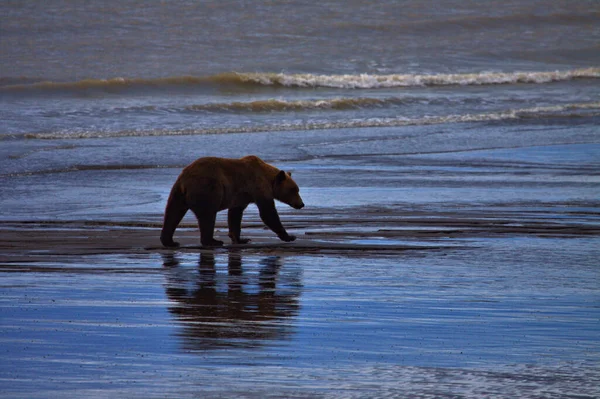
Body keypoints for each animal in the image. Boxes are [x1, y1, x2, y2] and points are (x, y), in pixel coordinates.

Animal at [161, 155, 304, 247]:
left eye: (297, 189)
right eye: (293, 190)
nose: (301, 204)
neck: (268, 178)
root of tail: (185, 179)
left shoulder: (241, 196)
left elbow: (235, 214)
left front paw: (241, 239)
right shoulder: (258, 187)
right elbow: (268, 213)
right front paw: (289, 236)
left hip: (177, 193)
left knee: (172, 213)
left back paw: (170, 241)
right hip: (207, 189)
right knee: (208, 215)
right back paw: (212, 241)